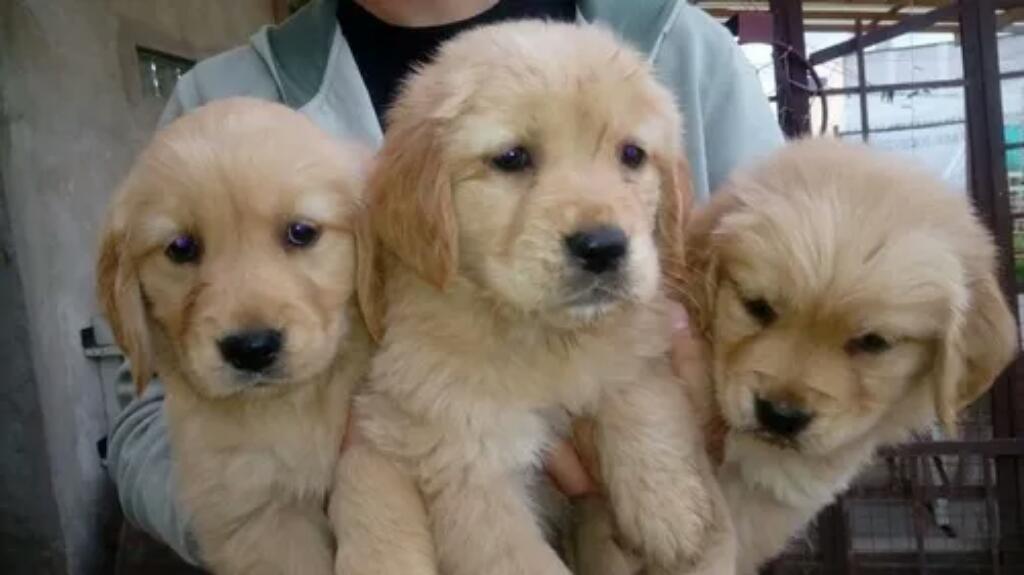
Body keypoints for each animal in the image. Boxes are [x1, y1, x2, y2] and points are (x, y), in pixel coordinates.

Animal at [331, 20, 733, 572]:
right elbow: (520, 557)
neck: (541, 337)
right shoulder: (469, 460)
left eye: (632, 154)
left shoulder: (634, 345)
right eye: (512, 158)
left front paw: (669, 505)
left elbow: (638, 387)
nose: (603, 247)